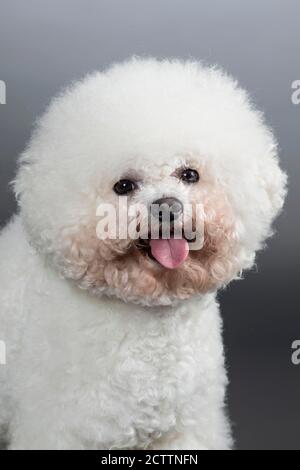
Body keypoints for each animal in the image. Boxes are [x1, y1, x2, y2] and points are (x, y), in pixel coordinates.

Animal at [0, 57, 286, 448]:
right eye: (124, 186)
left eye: (189, 174)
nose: (167, 206)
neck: (152, 329)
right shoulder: (62, 428)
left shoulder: (188, 424)